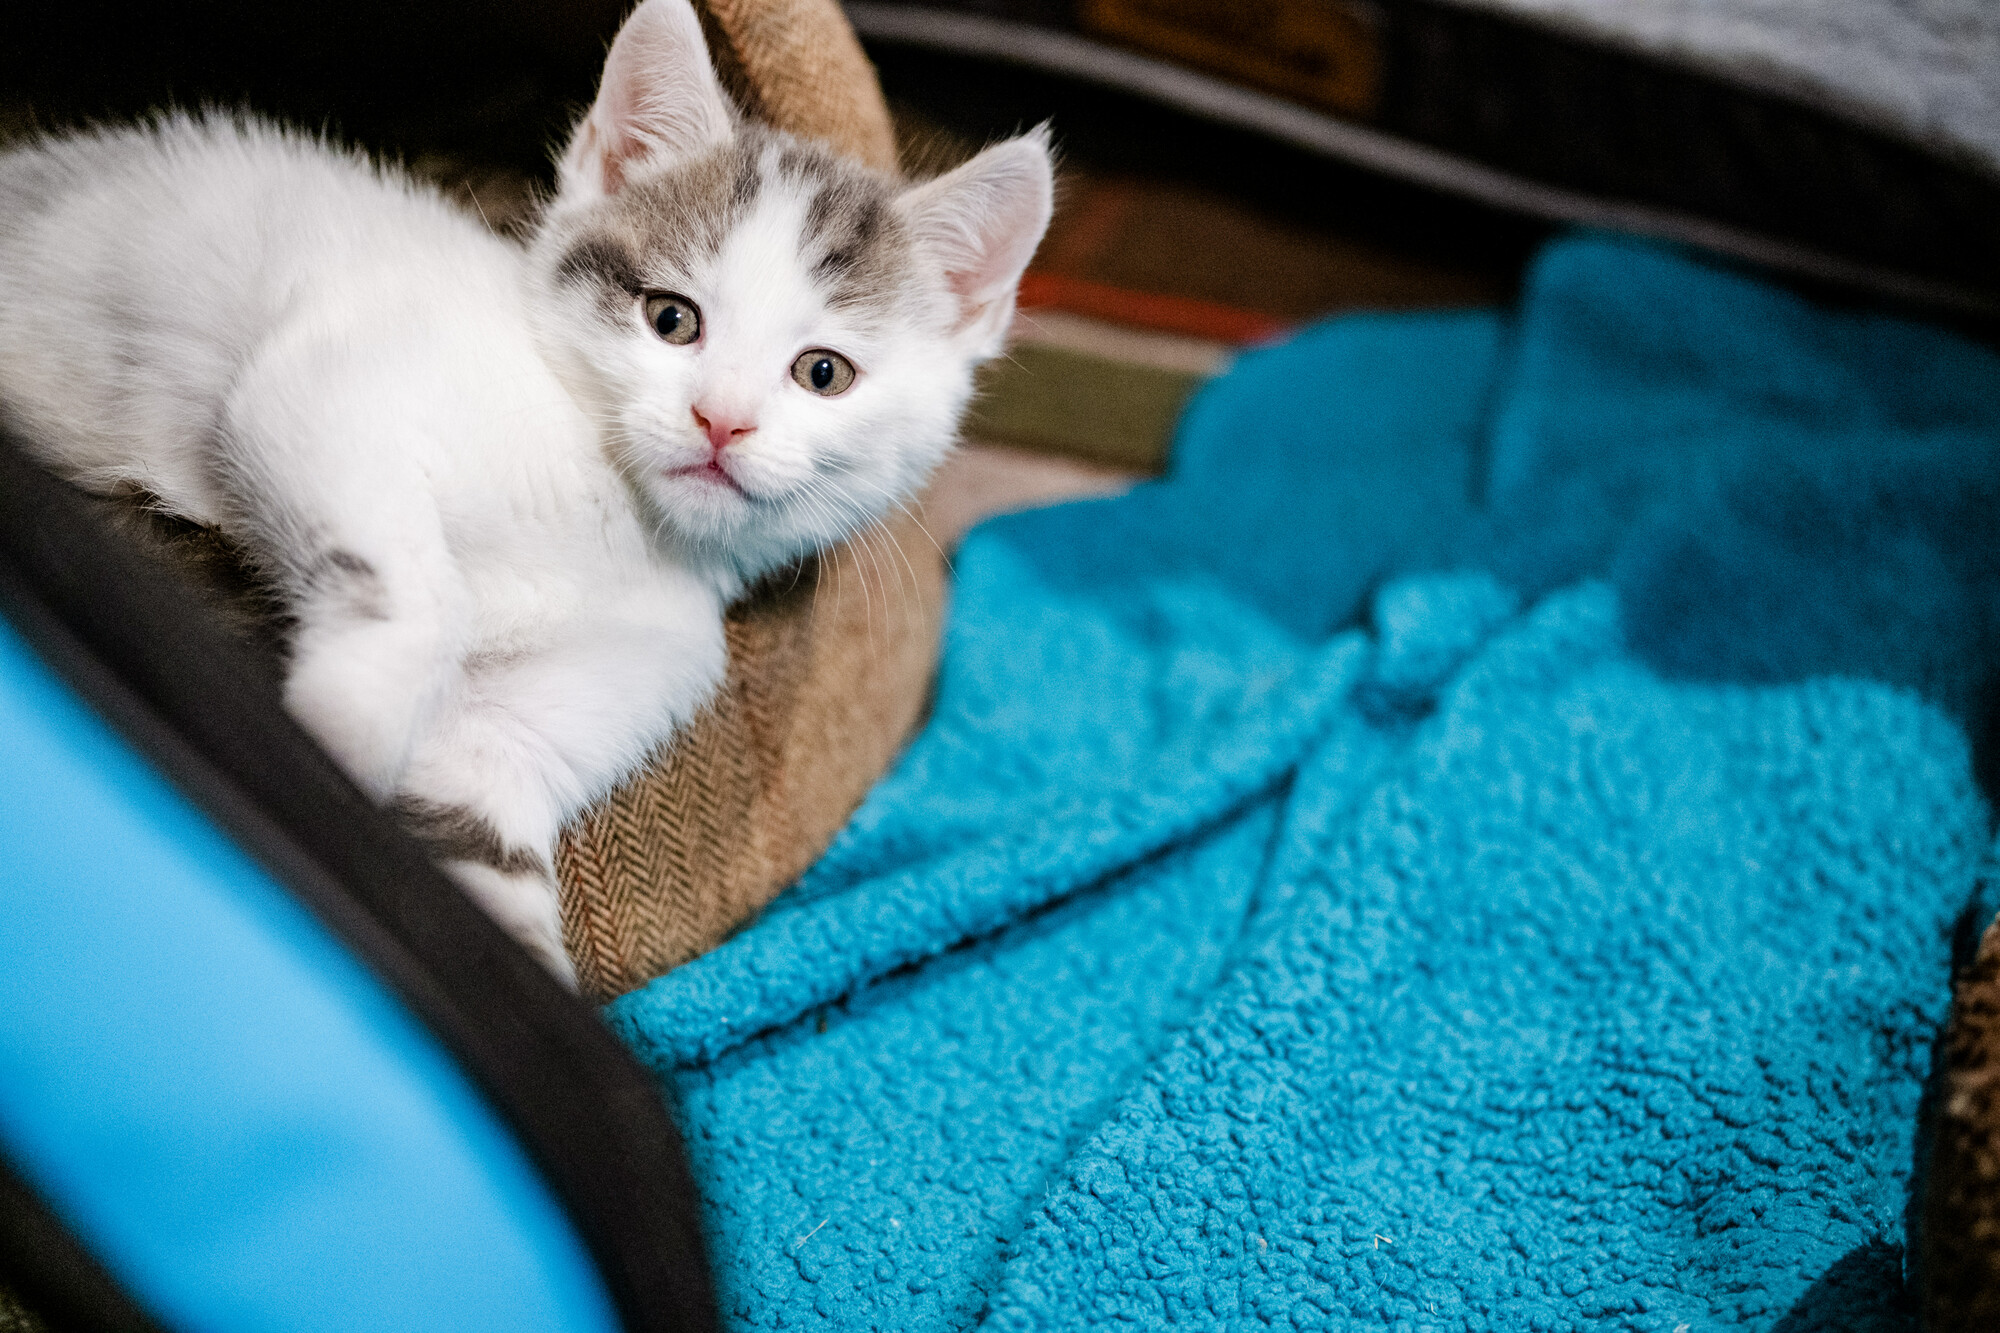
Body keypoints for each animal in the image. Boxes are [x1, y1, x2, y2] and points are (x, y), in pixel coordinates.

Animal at [0, 0, 1064, 976]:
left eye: (824, 373)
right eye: (671, 319)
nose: (720, 420)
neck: (613, 520)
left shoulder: (508, 739)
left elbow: (485, 859)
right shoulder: (326, 385)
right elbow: (420, 596)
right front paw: (338, 743)